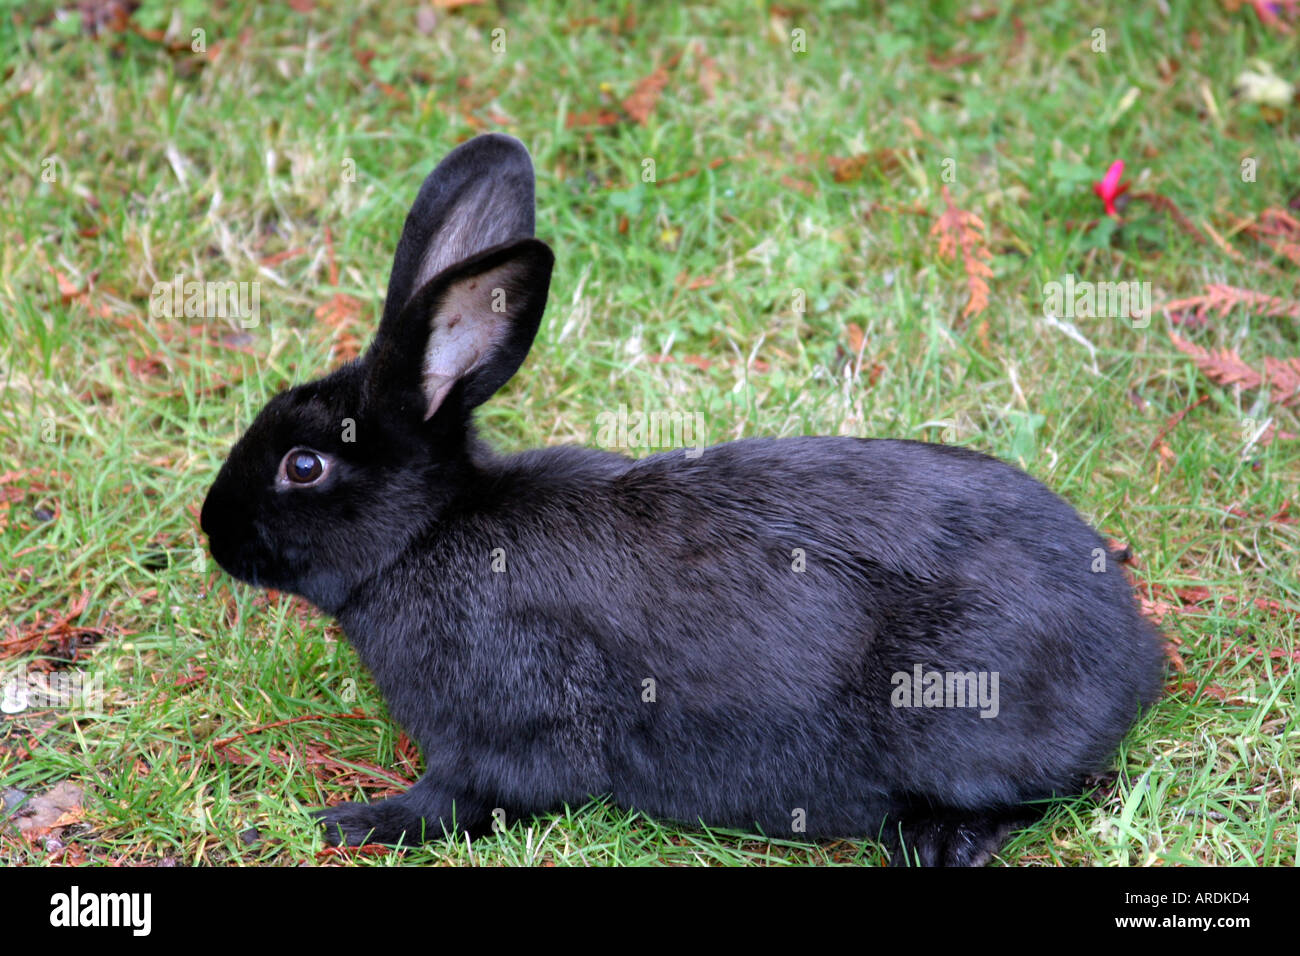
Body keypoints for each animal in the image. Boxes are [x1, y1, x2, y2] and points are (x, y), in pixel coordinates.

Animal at [200, 132, 1166, 866]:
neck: (429, 534)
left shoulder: (510, 730)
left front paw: (345, 821)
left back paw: (937, 842)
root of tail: (1130, 654)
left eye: (304, 466)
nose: (212, 532)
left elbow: (462, 799)